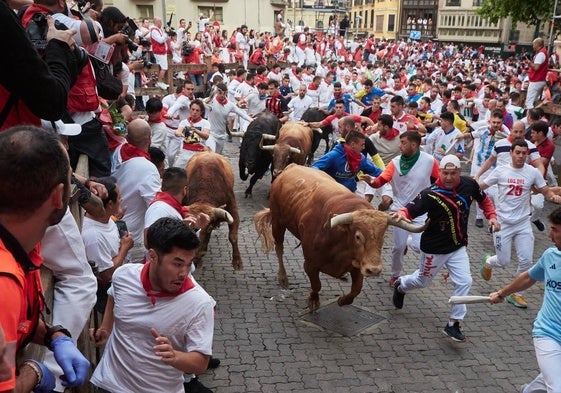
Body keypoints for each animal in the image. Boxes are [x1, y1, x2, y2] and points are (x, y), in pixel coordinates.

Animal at [252, 162, 422, 310]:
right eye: (358, 237)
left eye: (382, 236)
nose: (373, 270)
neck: (339, 241)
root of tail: (291, 167)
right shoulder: (310, 264)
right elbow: (316, 285)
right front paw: (313, 300)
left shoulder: (358, 264)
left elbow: (356, 289)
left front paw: (342, 300)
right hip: (278, 222)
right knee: (279, 248)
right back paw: (283, 278)